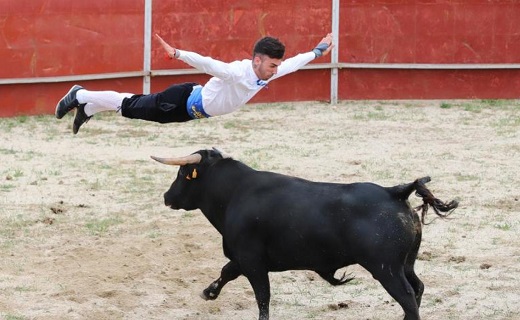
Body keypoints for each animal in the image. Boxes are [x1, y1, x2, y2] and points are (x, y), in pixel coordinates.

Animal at [151, 149, 460, 318]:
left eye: (182, 174)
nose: (167, 197)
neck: (235, 192)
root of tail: (394, 191)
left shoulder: (252, 261)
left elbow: (262, 297)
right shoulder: (243, 258)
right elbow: (226, 271)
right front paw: (209, 292)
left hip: (386, 269)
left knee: (407, 297)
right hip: (405, 264)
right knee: (418, 288)